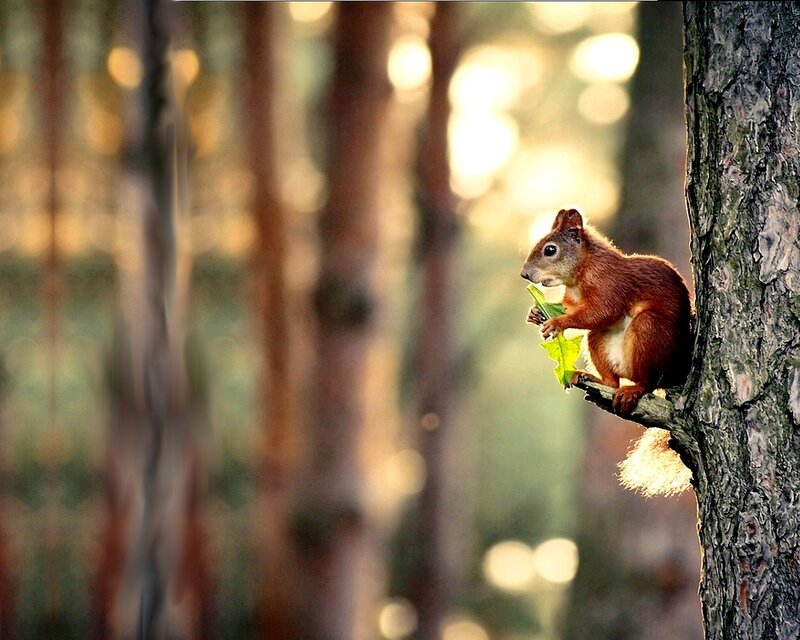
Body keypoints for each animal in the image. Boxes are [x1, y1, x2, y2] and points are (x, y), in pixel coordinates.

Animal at [521, 208, 694, 495]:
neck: (581, 272)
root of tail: (675, 372)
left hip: (649, 331)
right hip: (599, 340)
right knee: (611, 379)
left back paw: (633, 390)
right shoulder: (573, 299)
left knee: (647, 381)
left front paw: (557, 322)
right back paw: (593, 378)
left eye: (550, 250)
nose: (524, 275)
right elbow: (572, 308)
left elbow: (601, 312)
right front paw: (536, 312)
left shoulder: (610, 284)